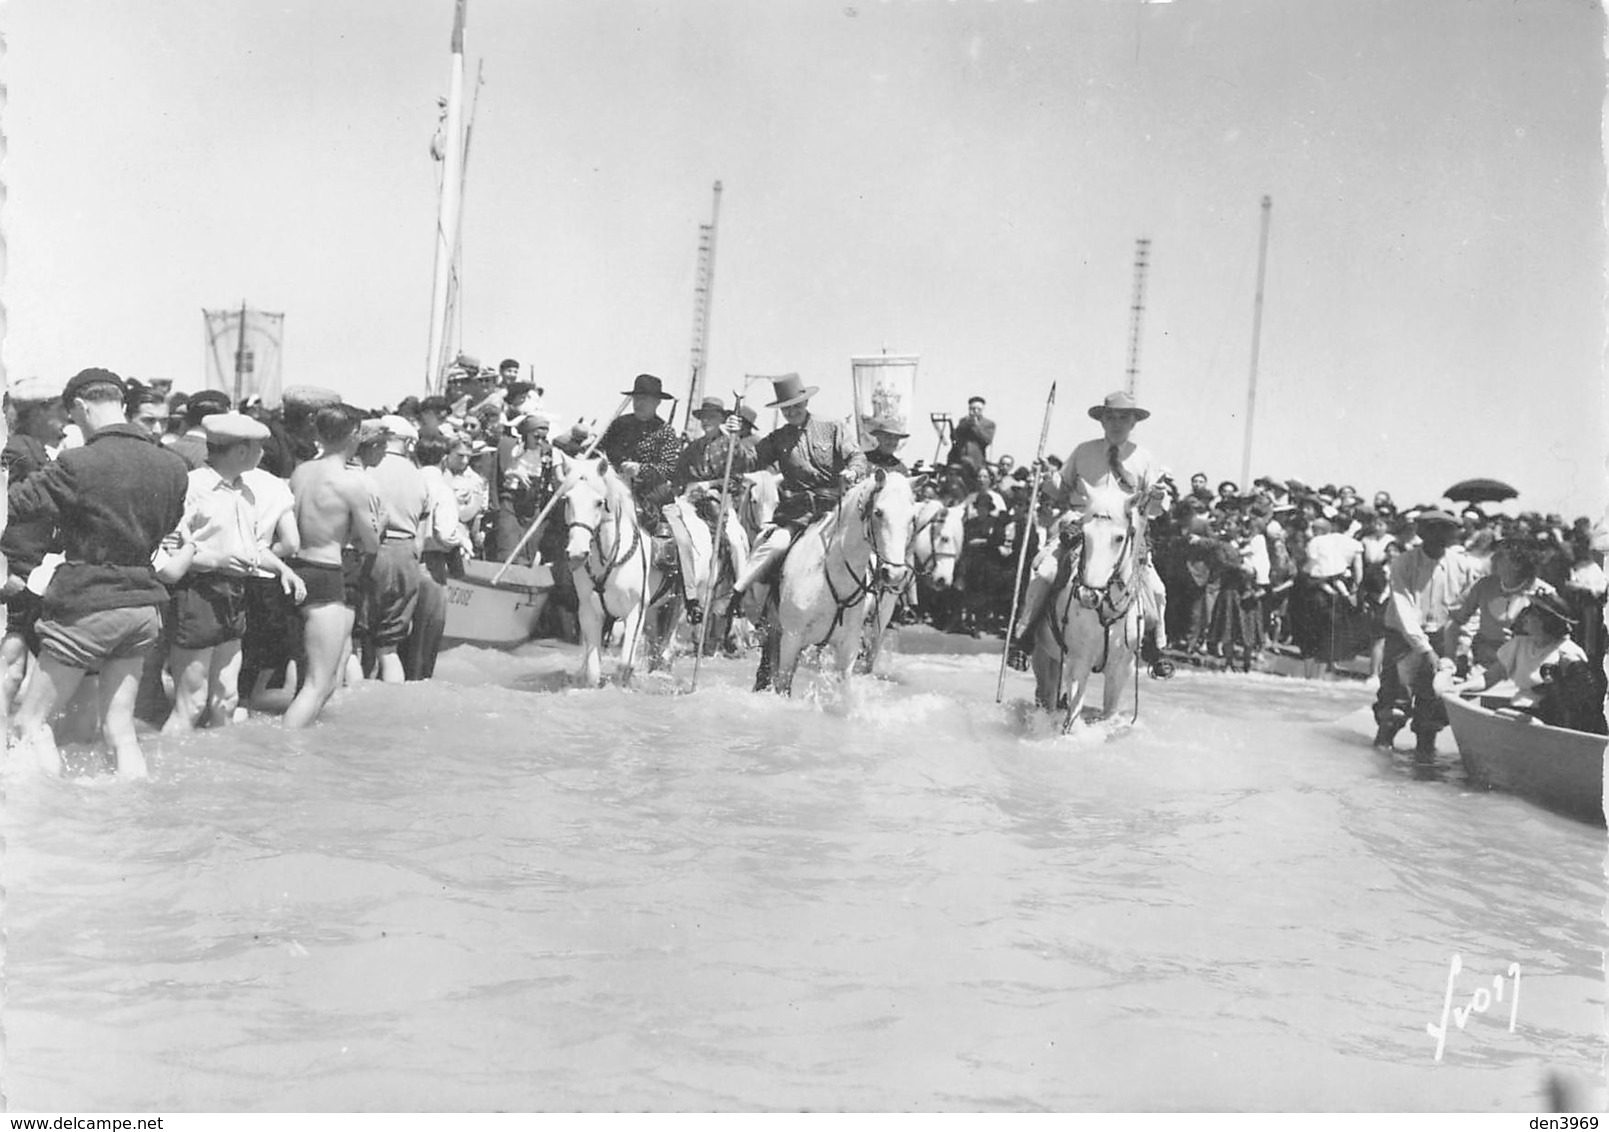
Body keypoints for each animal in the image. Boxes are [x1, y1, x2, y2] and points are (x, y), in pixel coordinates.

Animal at [563, 453, 675, 684]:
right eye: (568, 499)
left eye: (599, 502)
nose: (577, 553)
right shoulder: (589, 611)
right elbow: (593, 671)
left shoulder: (635, 610)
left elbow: (625, 665)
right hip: (654, 610)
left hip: (678, 605)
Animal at [756, 466, 913, 694]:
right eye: (878, 512)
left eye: (912, 518)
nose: (895, 574)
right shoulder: (791, 639)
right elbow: (782, 685)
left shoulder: (847, 649)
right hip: (774, 631)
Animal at [1029, 479, 1145, 733]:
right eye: (1085, 535)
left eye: (1119, 538)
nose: (1088, 595)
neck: (1106, 613)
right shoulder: (1078, 662)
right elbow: (1072, 716)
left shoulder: (1121, 670)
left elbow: (1108, 714)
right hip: (1043, 655)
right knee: (1045, 697)